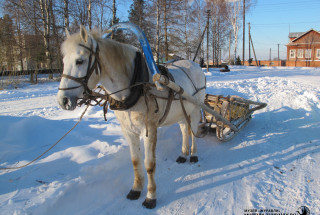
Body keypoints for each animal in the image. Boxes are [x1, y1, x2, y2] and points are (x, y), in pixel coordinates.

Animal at [57, 26, 205, 209]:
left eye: (79, 61)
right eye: (64, 61)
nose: (63, 100)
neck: (136, 86)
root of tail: (195, 64)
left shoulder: (150, 130)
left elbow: (149, 164)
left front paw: (150, 197)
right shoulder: (128, 130)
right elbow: (135, 161)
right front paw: (135, 189)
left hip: (196, 109)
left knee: (193, 131)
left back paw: (193, 155)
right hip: (181, 112)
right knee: (185, 130)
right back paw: (183, 155)